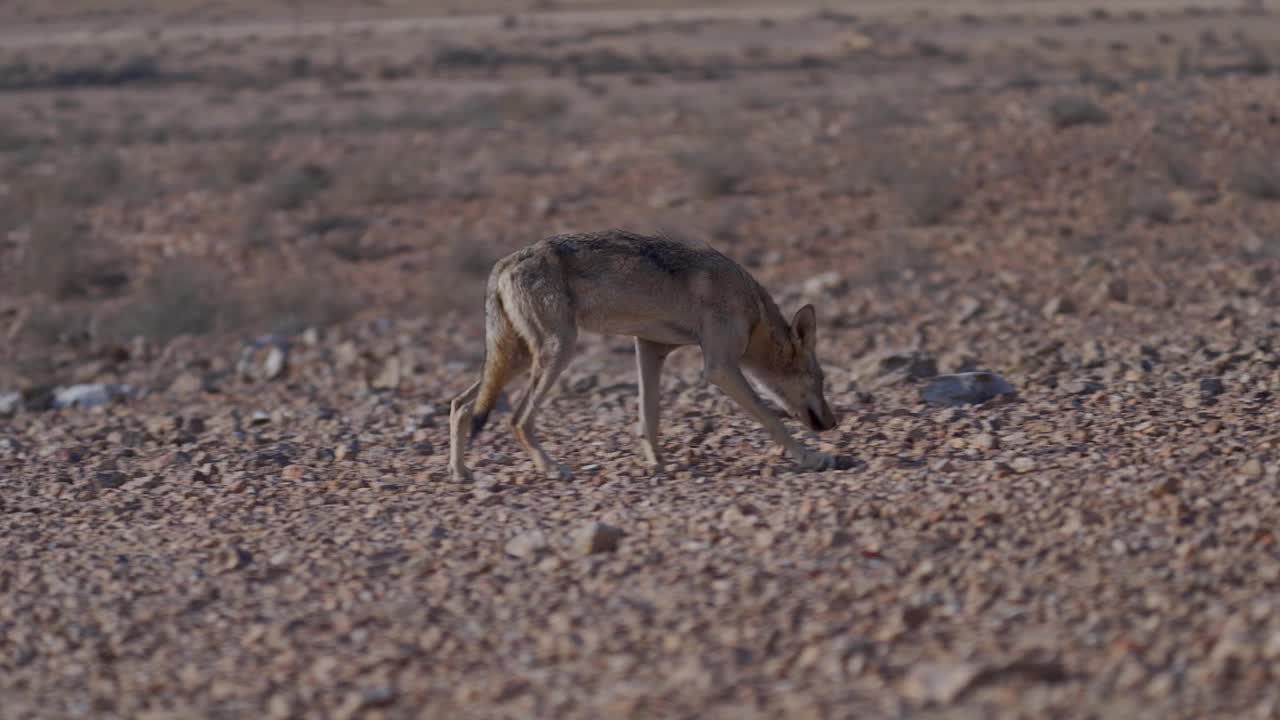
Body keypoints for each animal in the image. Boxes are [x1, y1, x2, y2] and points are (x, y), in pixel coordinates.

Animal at [450, 226, 839, 479]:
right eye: (820, 379)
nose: (834, 423)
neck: (753, 310)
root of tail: (503, 262)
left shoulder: (650, 349)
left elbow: (649, 419)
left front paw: (657, 465)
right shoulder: (720, 368)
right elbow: (772, 418)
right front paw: (809, 457)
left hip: (519, 360)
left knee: (460, 404)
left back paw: (460, 472)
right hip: (557, 352)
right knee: (517, 419)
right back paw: (551, 468)